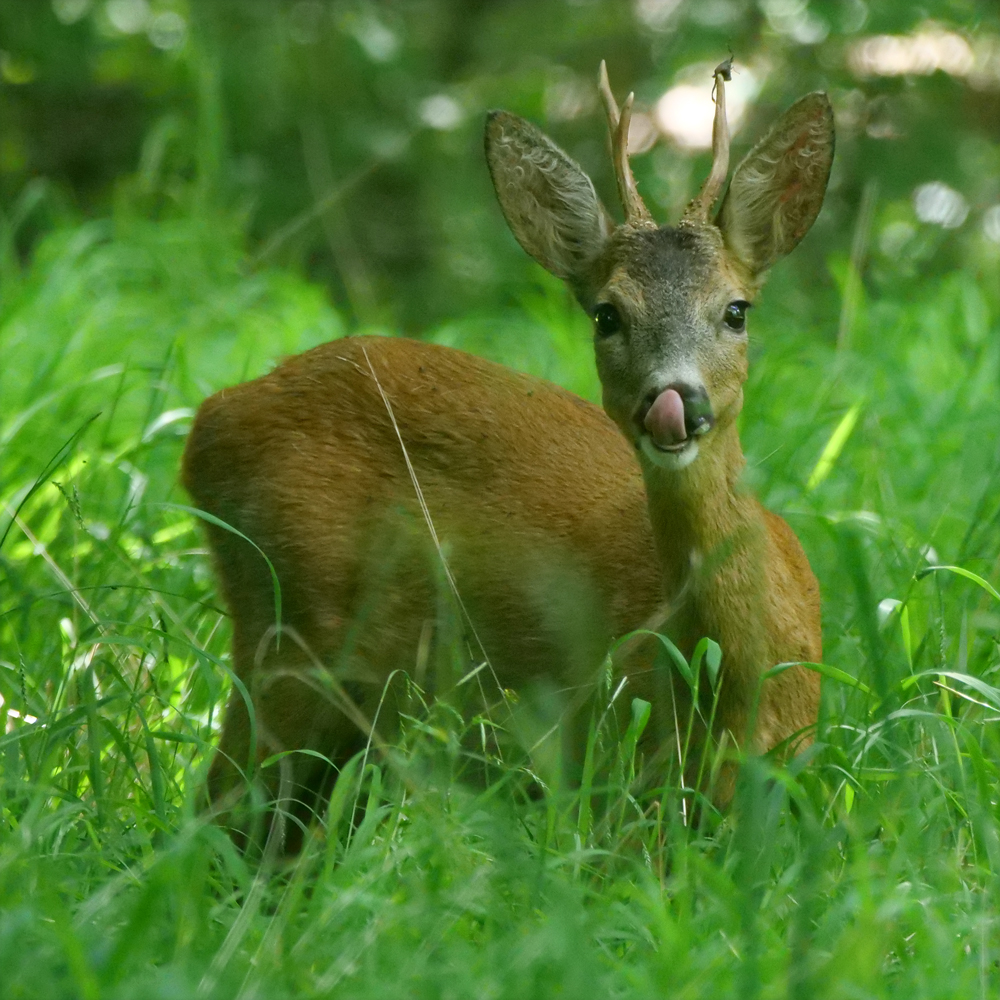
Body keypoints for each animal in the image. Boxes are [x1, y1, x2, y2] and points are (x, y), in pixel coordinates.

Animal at [184, 60, 832, 844]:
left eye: (736, 310)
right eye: (606, 314)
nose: (673, 402)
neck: (732, 681)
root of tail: (211, 419)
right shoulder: (610, 771)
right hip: (287, 630)